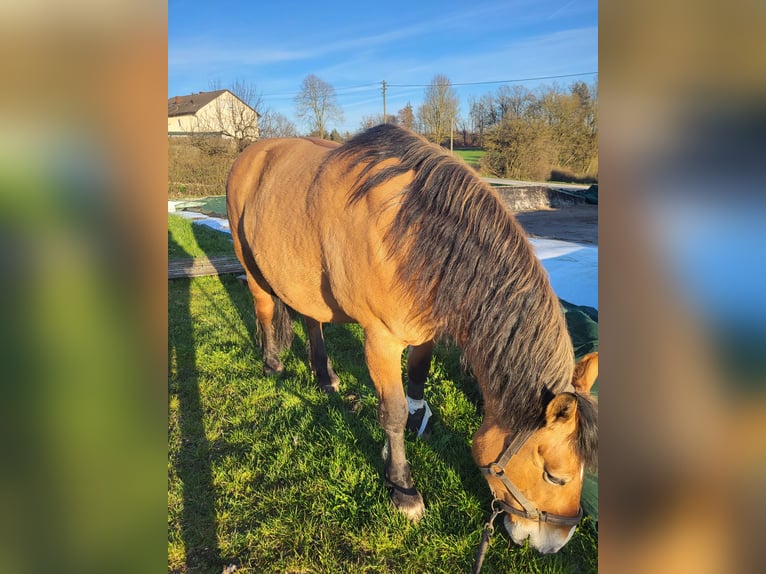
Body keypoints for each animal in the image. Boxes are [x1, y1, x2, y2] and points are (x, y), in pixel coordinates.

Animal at [226, 125, 600, 552]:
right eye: (555, 475)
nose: (555, 542)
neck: (412, 233)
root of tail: (251, 153)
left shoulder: (425, 332)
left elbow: (417, 382)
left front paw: (411, 432)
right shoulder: (381, 340)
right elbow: (392, 412)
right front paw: (402, 487)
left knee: (311, 320)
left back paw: (325, 376)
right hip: (251, 265)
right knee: (264, 308)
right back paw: (273, 363)